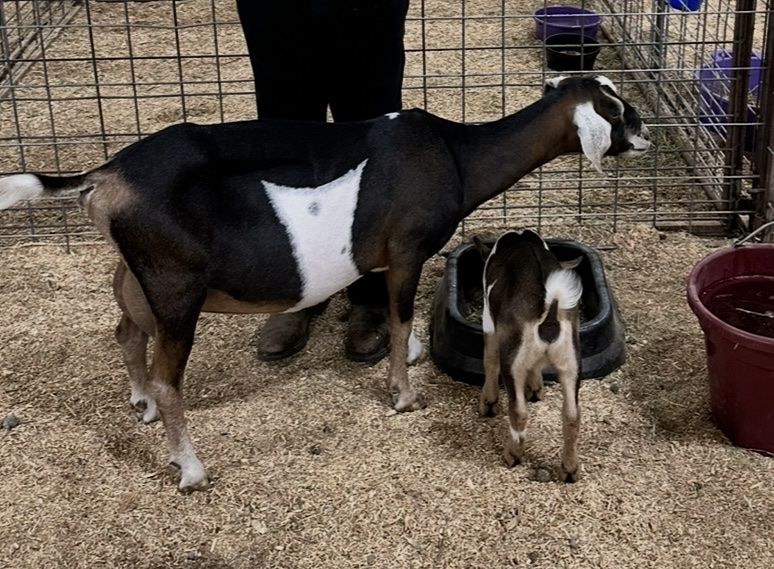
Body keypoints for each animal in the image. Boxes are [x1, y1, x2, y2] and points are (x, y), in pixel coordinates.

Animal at [474, 230, 583, 482]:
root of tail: (550, 316)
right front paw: (535, 389)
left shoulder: (489, 322)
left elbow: (489, 359)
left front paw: (488, 403)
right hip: (571, 359)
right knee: (572, 415)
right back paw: (569, 469)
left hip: (513, 361)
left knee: (519, 410)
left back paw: (512, 454)